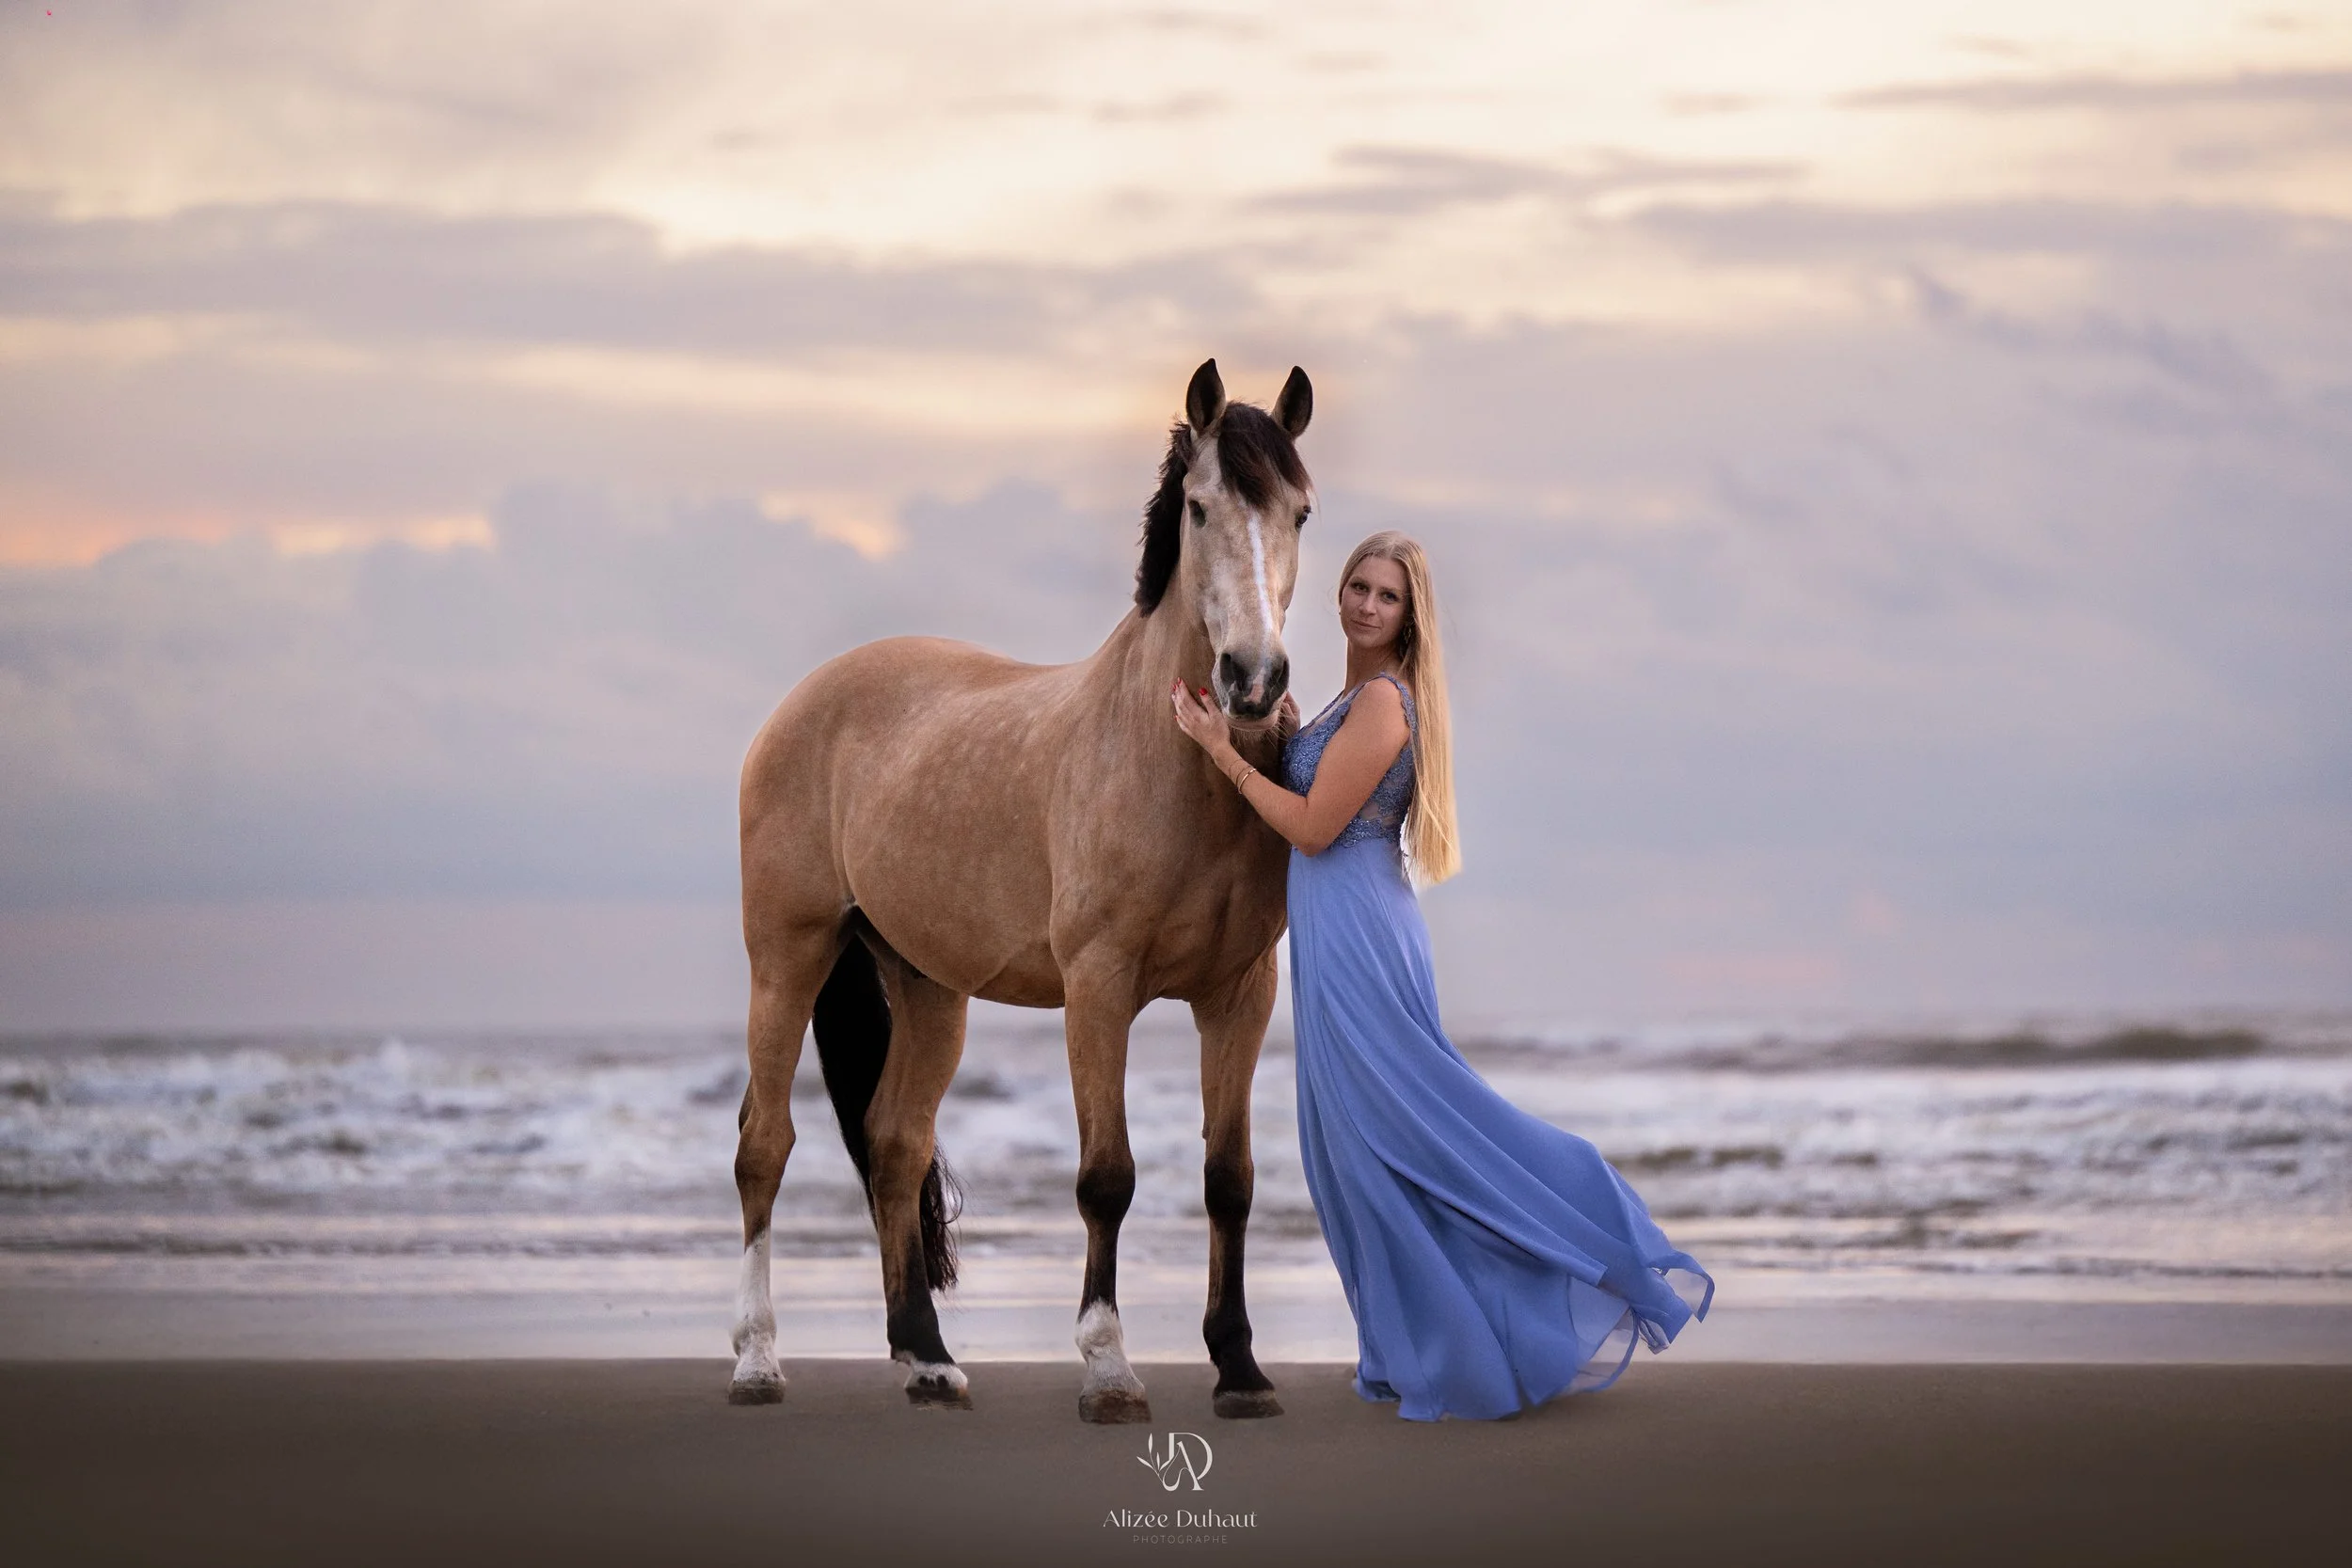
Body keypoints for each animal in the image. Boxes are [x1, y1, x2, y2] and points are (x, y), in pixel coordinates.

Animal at [729, 359, 1315, 1422]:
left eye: (1301, 510)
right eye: (1200, 508)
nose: (1253, 681)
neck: (1166, 759)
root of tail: (801, 703)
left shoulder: (1239, 995)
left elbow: (1230, 1177)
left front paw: (1240, 1367)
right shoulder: (1099, 987)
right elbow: (1106, 1176)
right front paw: (1109, 1368)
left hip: (928, 988)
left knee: (893, 1144)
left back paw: (927, 1357)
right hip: (787, 956)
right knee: (766, 1143)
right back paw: (756, 1359)